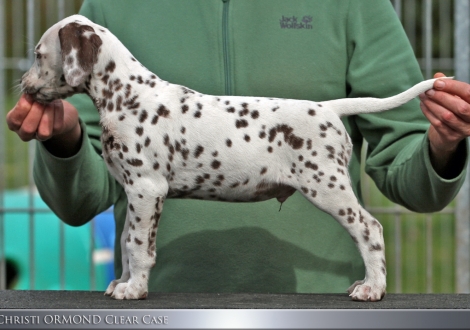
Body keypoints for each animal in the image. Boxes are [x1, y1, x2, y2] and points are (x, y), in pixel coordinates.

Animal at [21, 14, 448, 300]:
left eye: (39, 55)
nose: (22, 86)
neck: (127, 95)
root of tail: (327, 108)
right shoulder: (132, 192)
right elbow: (127, 241)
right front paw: (122, 283)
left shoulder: (146, 188)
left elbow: (139, 246)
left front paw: (135, 289)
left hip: (327, 186)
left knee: (369, 229)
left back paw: (372, 287)